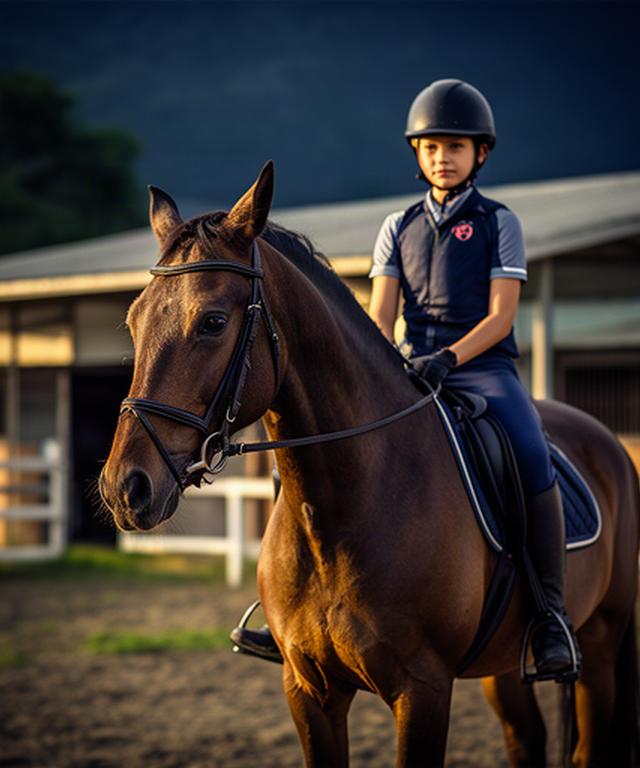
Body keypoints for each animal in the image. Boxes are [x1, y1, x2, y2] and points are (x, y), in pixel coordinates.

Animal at [99, 161, 640, 767]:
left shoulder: (423, 690)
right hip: (504, 668)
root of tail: (606, 440)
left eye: (213, 322)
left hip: (600, 641)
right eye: (134, 321)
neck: (340, 513)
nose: (125, 488)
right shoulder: (309, 690)